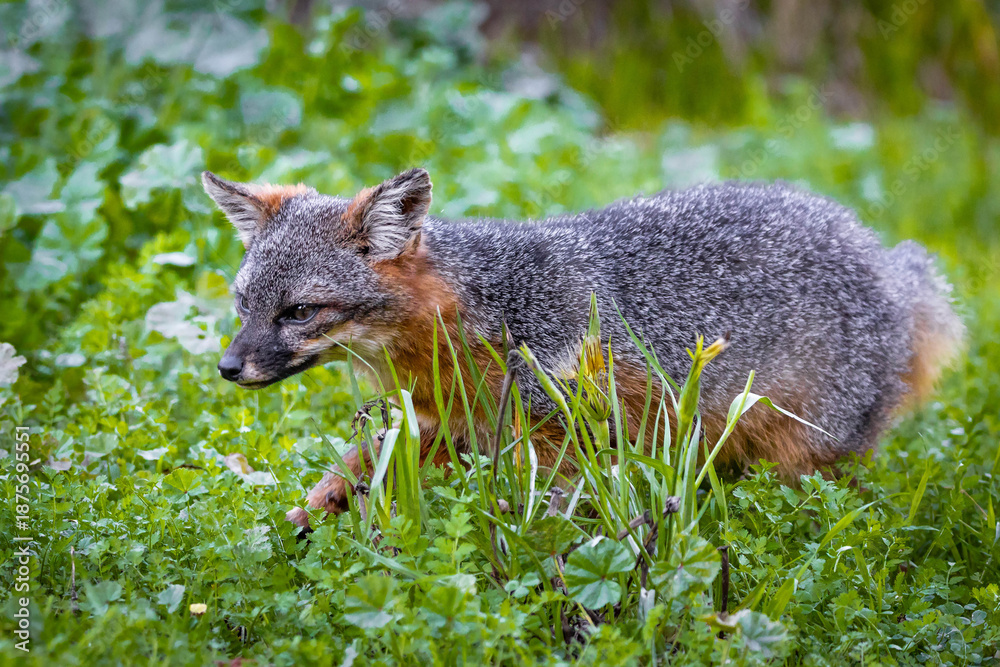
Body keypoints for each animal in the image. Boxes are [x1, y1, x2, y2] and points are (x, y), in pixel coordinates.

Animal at [202, 168, 964, 527]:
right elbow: (356, 466)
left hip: (800, 458)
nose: (228, 367)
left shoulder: (561, 442)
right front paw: (304, 519)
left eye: (299, 312)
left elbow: (544, 519)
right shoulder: (448, 425)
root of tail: (884, 259)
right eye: (243, 306)